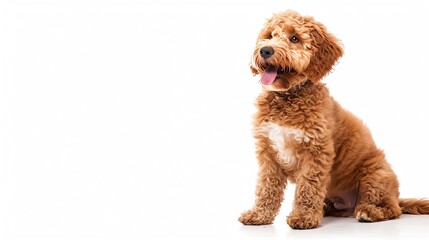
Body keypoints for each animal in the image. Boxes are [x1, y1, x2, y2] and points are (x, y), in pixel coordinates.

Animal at [237, 10, 428, 230]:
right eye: (269, 36)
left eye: (294, 38)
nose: (266, 50)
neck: (287, 98)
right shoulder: (268, 152)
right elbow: (267, 187)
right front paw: (259, 215)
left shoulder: (315, 152)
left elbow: (308, 187)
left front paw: (303, 217)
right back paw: (326, 210)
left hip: (375, 173)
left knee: (391, 209)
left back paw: (369, 212)